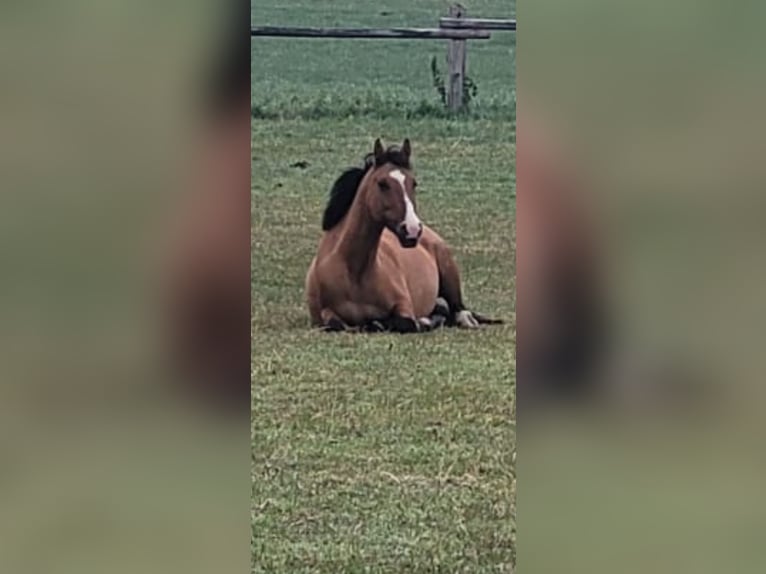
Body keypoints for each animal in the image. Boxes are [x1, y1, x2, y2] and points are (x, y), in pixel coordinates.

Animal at [305, 138, 501, 333]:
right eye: (382, 184)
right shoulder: (322, 316)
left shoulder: (404, 307)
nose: (412, 229)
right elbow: (336, 324)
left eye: (414, 183)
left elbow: (402, 322)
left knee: (458, 310)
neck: (354, 273)